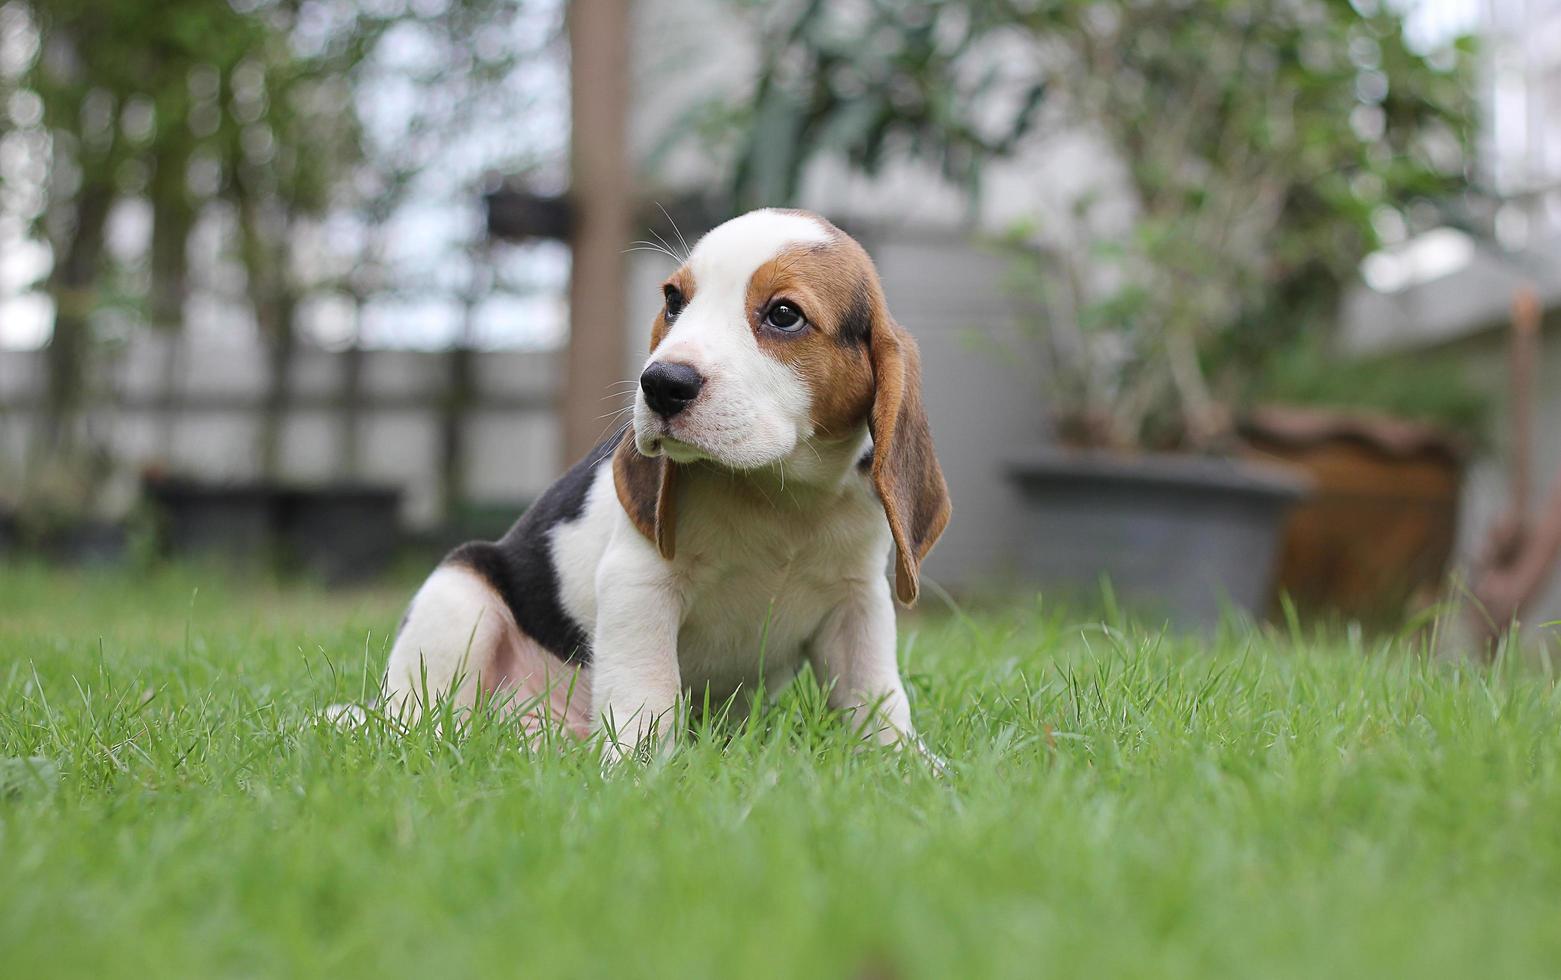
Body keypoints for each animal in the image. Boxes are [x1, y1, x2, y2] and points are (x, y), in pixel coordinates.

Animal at [380, 209, 949, 758]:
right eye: (674, 301)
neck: (778, 493)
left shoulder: (858, 602)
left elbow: (878, 699)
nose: (660, 384)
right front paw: (638, 772)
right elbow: (646, 692)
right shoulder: (639, 584)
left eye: (784, 315)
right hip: (458, 593)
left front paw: (912, 766)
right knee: (417, 715)